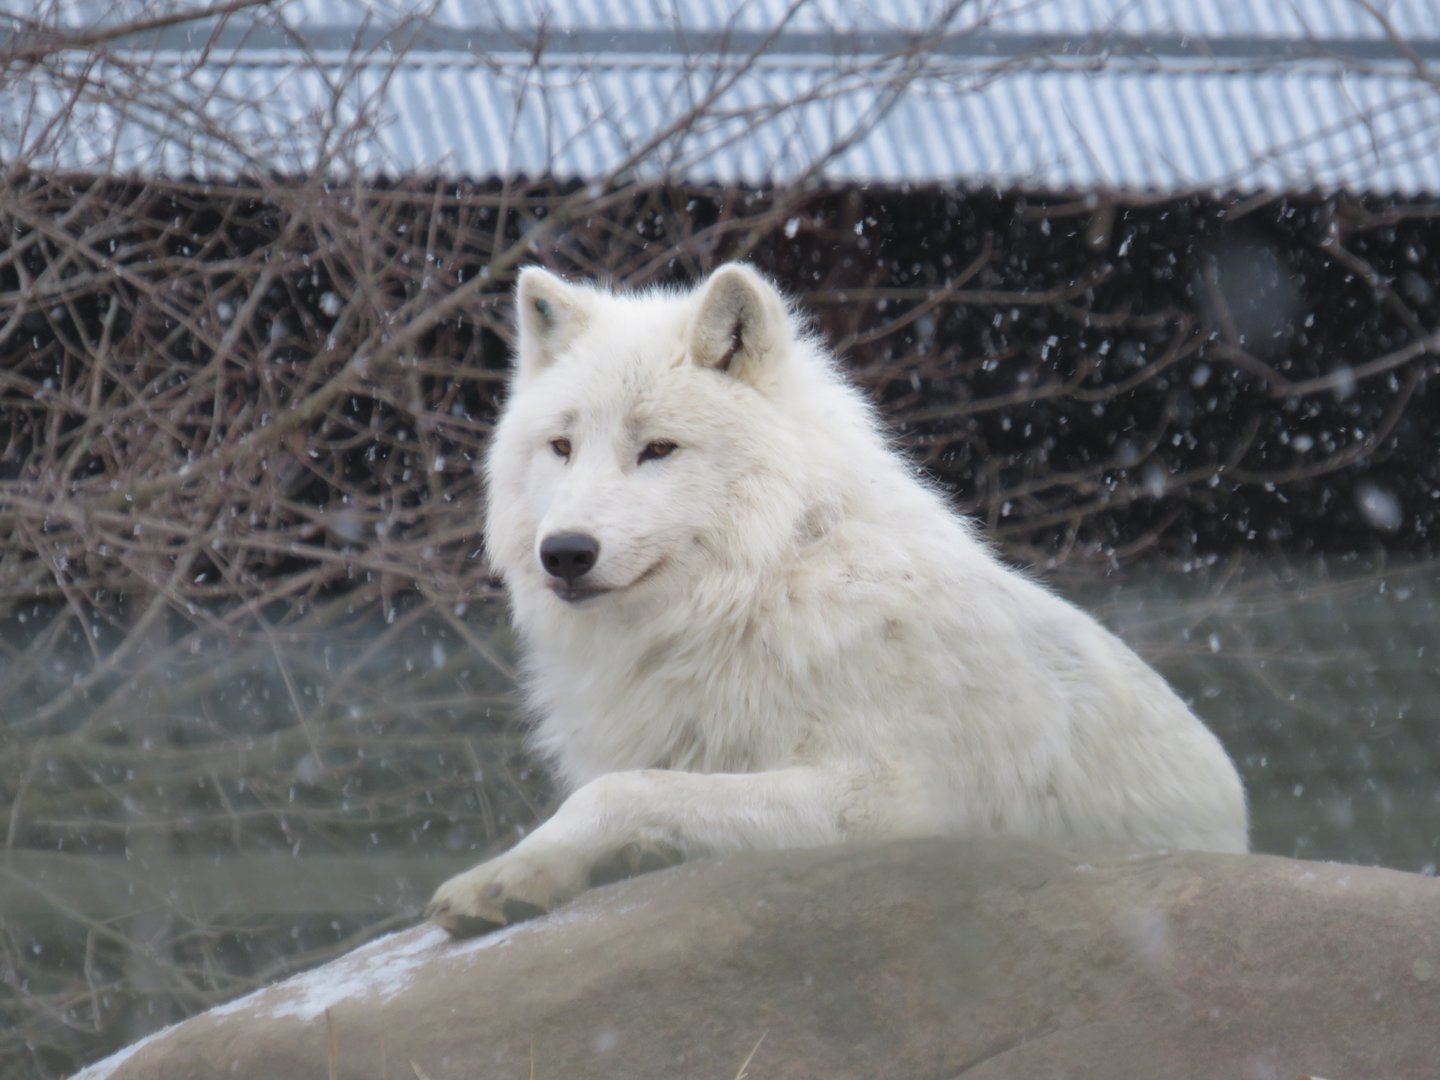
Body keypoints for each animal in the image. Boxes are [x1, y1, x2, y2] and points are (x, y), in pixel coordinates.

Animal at [426, 263, 1248, 936]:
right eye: (562, 447)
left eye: (657, 448)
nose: (565, 552)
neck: (755, 593)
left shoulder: (895, 802)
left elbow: (620, 790)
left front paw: (514, 874)